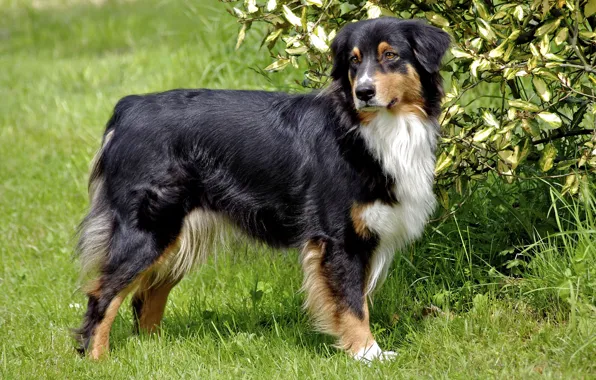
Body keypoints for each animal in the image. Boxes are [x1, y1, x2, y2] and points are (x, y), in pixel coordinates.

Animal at [73, 17, 448, 362]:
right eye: (354, 62)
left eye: (390, 55)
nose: (364, 92)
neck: (370, 129)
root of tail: (128, 108)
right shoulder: (338, 238)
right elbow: (352, 303)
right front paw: (367, 355)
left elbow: (356, 300)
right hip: (149, 228)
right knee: (104, 295)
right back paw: (97, 358)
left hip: (177, 234)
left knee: (147, 295)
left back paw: (154, 352)